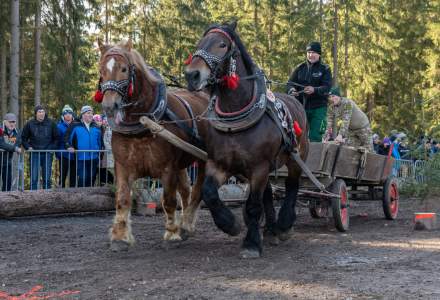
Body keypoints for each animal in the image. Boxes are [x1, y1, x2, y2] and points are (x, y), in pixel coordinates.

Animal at [98, 39, 208, 251]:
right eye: (101, 70)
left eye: (124, 69)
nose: (109, 106)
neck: (143, 122)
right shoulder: (123, 166)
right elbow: (122, 200)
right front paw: (120, 237)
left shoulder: (168, 168)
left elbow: (168, 201)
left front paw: (172, 233)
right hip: (182, 162)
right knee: (186, 190)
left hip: (203, 159)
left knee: (197, 190)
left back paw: (188, 224)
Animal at [184, 23, 308, 258]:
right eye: (198, 43)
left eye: (222, 45)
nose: (192, 75)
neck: (236, 117)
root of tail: (295, 98)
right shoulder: (220, 164)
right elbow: (209, 193)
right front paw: (231, 224)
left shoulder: (258, 167)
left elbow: (252, 206)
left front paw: (251, 243)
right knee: (269, 194)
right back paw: (270, 230)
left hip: (297, 156)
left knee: (292, 185)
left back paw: (284, 225)